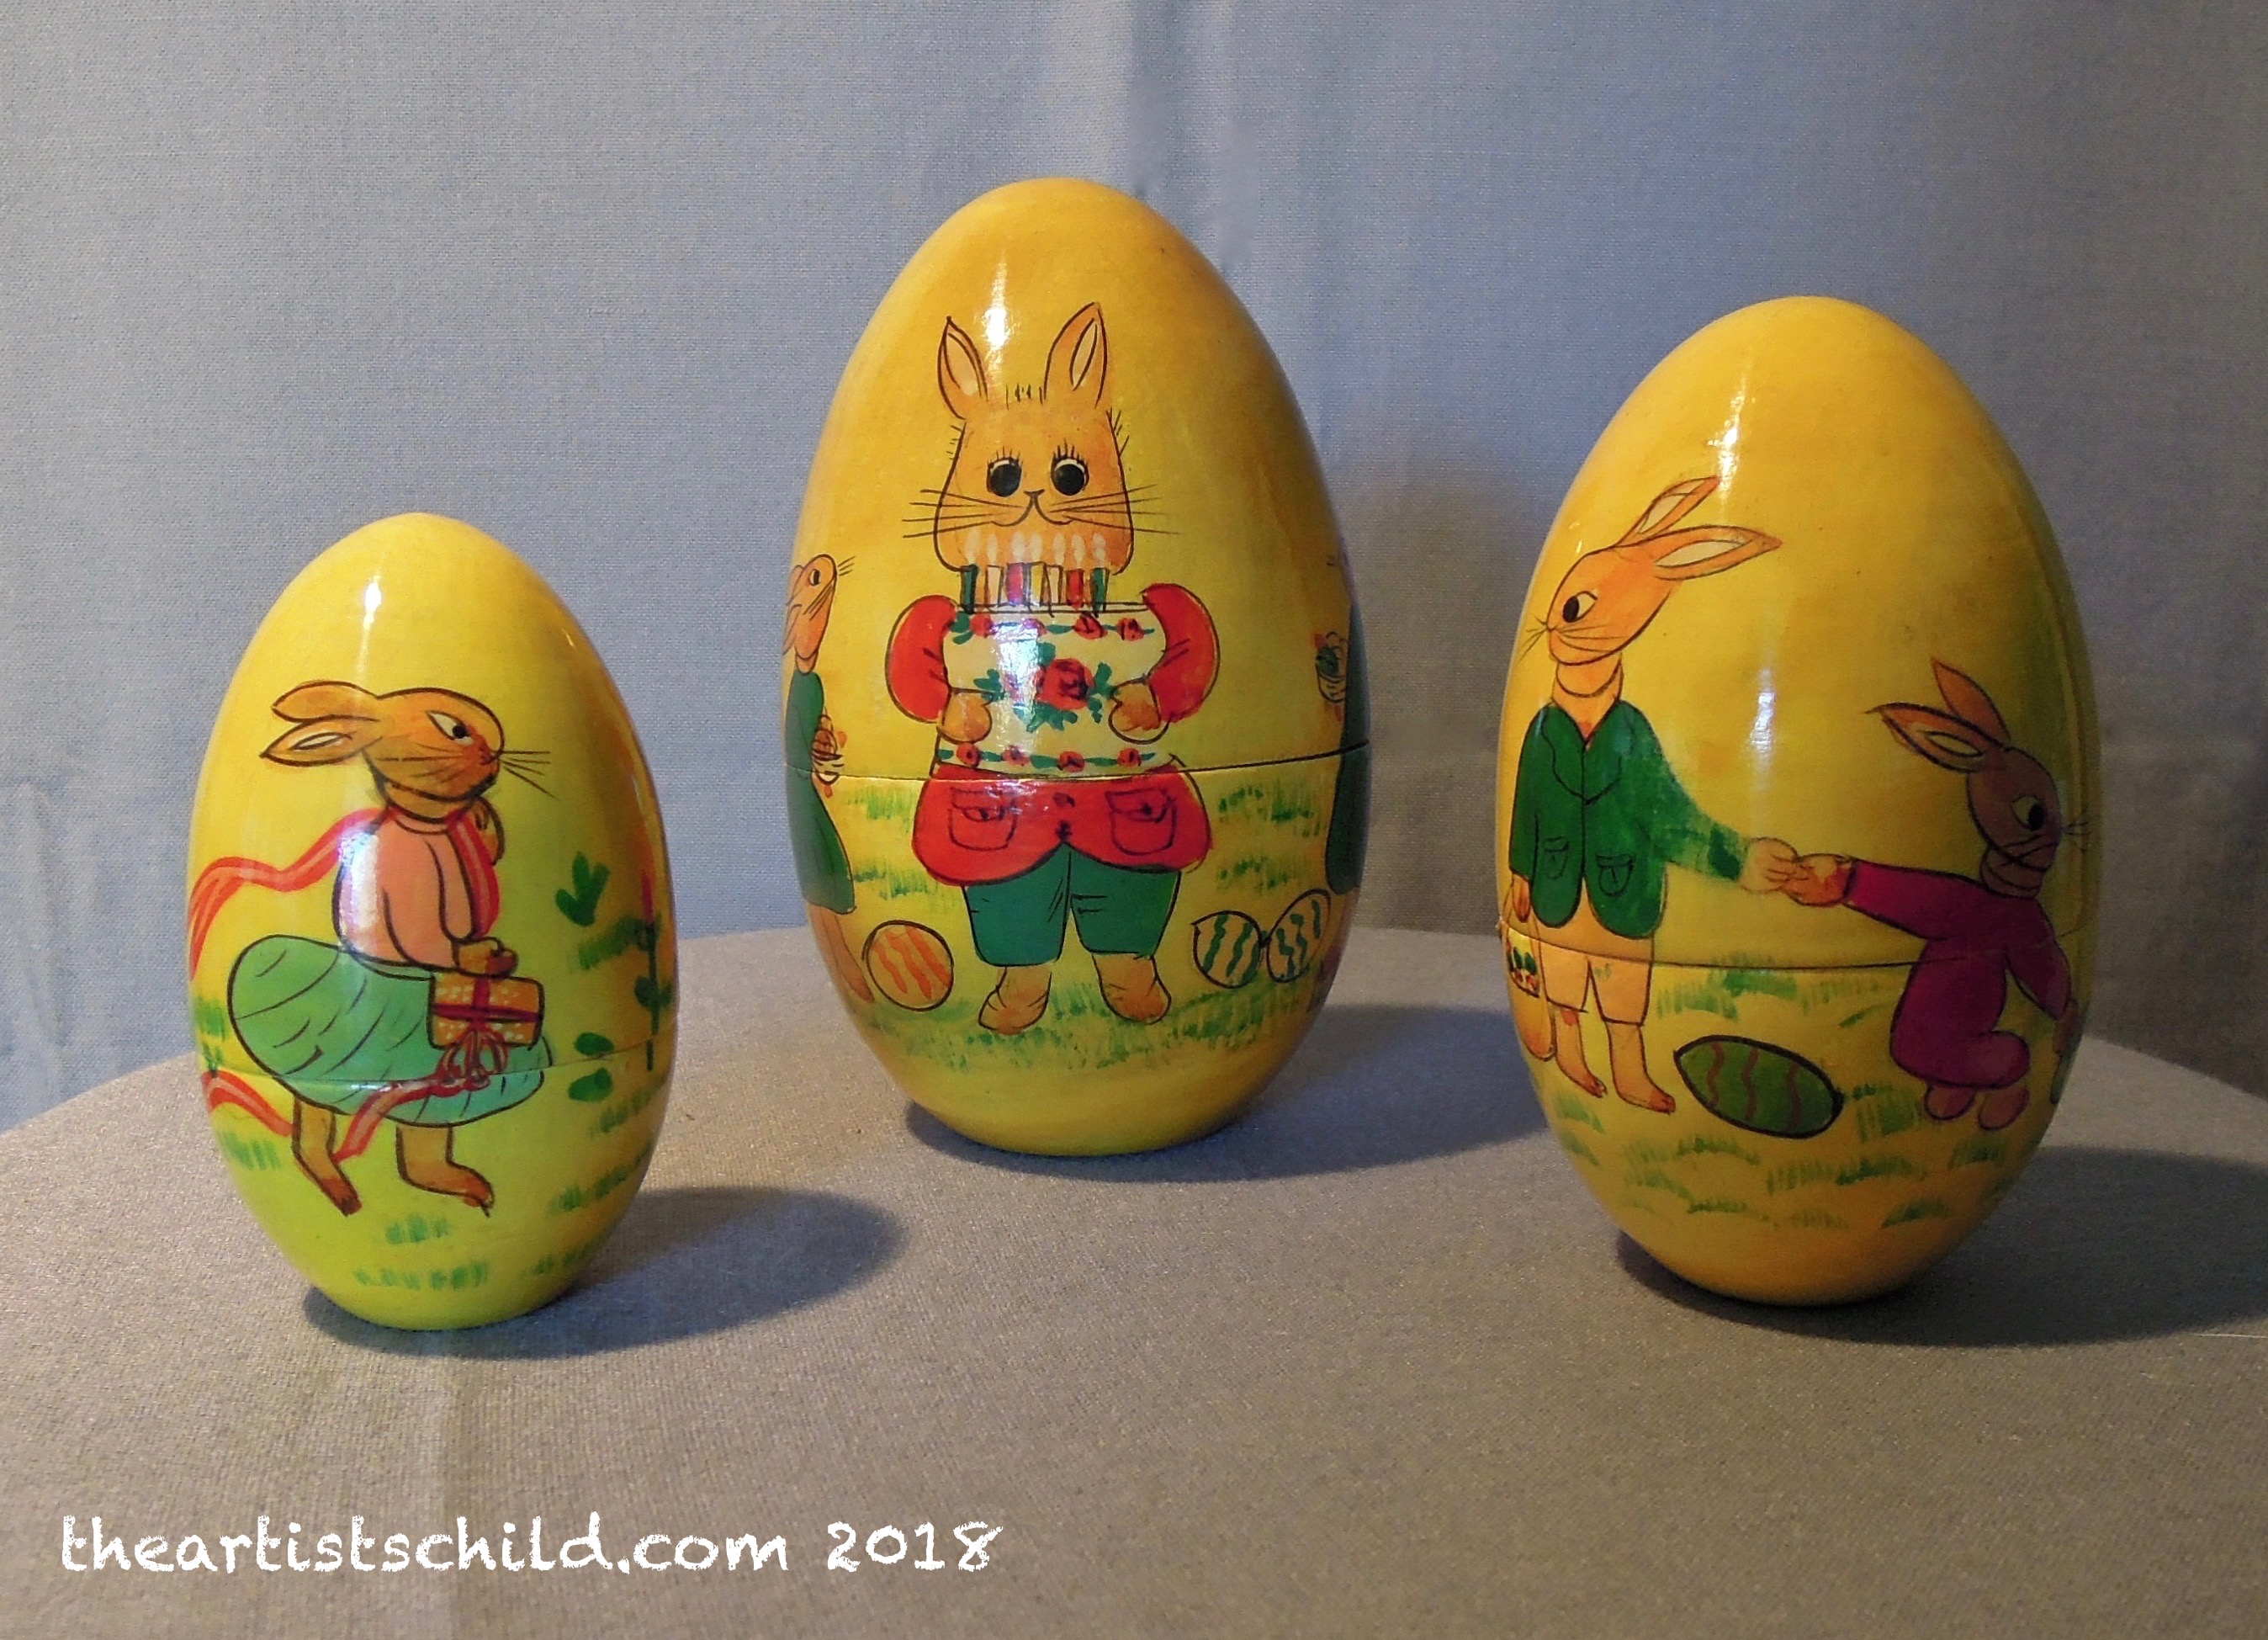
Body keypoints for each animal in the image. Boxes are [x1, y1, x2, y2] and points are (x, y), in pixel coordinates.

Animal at [190, 681, 552, 1214]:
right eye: (455, 729)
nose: (493, 756)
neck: (427, 825)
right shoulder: (409, 878)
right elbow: (431, 940)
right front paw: (481, 956)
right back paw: (333, 1180)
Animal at [1502, 476, 1801, 1111]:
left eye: (1575, 605)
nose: (1554, 626)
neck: (1587, 708)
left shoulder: (1648, 762)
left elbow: (1683, 824)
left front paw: (1765, 864)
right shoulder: (1534, 757)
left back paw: (1630, 1090)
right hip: (1558, 937)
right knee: (1565, 995)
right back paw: (1580, 1072)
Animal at [1778, 661, 2080, 1131]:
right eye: (2034, 813)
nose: (2061, 829)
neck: (1998, 889)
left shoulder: (2015, 922)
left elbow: (2045, 974)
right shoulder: (1981, 910)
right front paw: (1823, 878)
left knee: (2007, 1057)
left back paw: (1980, 1106)